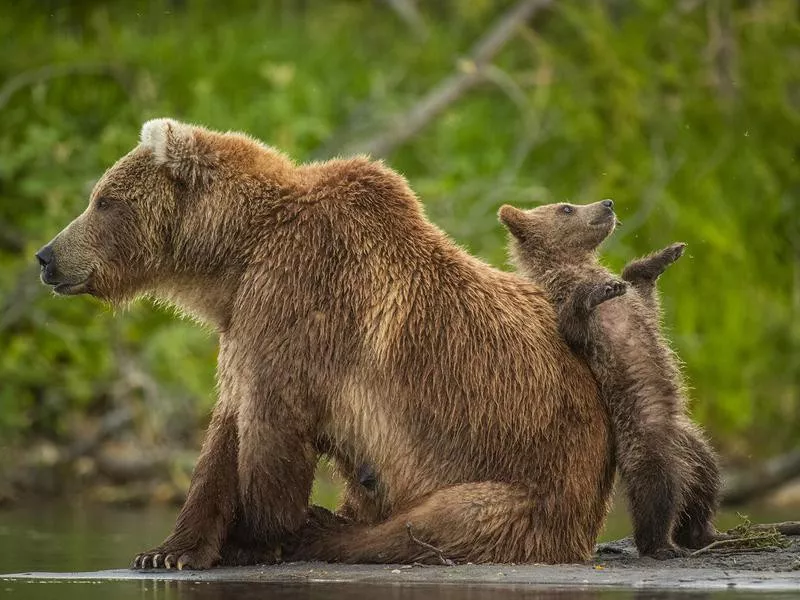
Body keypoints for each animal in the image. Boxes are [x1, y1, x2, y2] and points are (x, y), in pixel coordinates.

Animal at [36, 119, 612, 568]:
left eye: (102, 200)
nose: (46, 256)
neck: (235, 257)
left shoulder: (300, 301)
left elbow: (272, 425)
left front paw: (255, 538)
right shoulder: (245, 322)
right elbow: (225, 429)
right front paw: (168, 550)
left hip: (530, 478)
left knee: (442, 521)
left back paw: (324, 528)